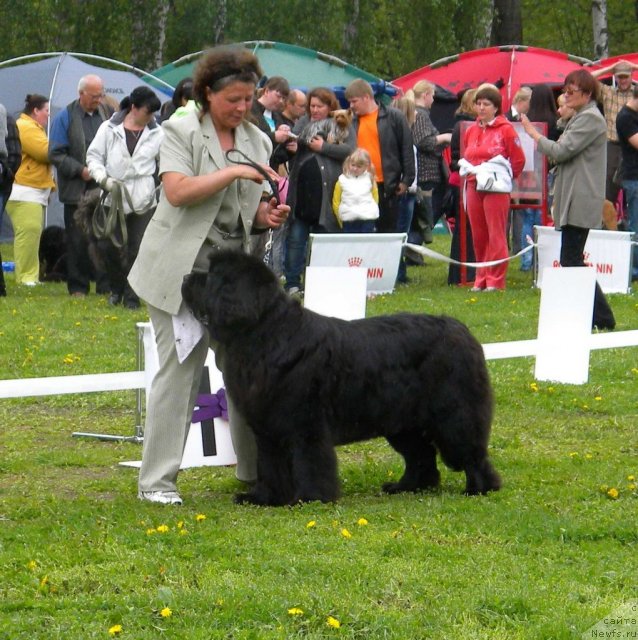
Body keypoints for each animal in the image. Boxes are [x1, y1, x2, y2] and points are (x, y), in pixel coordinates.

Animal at [182, 250, 502, 504]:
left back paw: (480, 488)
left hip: (454, 413)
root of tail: (462, 330)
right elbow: (270, 464)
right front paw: (264, 498)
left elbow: (311, 461)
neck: (263, 334)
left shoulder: (306, 422)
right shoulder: (268, 427)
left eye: (211, 277)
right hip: (402, 422)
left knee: (470, 451)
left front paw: (311, 498)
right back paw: (407, 486)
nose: (185, 277)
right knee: (420, 455)